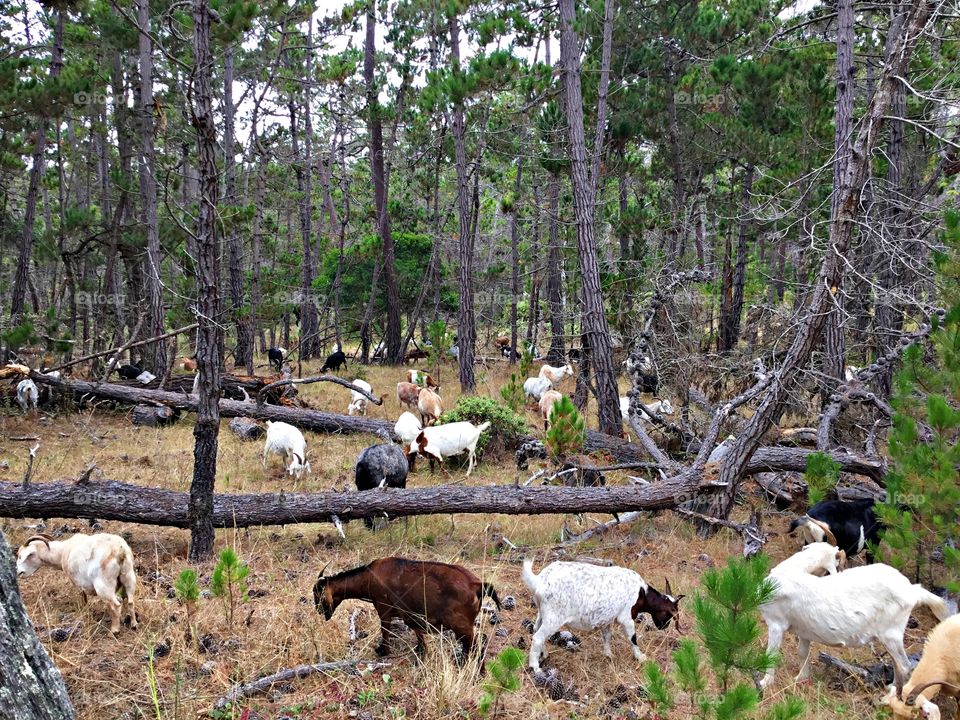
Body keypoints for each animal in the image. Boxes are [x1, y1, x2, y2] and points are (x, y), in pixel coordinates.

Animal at [313, 557, 501, 665]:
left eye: (316, 593)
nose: (318, 611)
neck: (369, 576)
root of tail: (476, 585)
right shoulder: (410, 615)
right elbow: (418, 633)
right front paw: (421, 651)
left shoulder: (383, 609)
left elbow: (385, 630)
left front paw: (383, 651)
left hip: (462, 627)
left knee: (477, 647)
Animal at [522, 558, 681, 673]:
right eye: (670, 613)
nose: (663, 627)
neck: (642, 593)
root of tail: (539, 581)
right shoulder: (627, 617)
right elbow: (632, 639)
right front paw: (641, 657)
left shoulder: (607, 620)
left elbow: (607, 637)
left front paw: (609, 655)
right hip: (554, 617)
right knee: (538, 637)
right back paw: (535, 667)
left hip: (543, 613)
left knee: (536, 630)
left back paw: (544, 655)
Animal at [759, 562, 951, 691]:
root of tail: (913, 591)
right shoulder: (803, 630)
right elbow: (802, 653)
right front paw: (800, 678)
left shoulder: (775, 622)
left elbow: (771, 654)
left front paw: (764, 683)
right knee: (898, 664)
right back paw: (890, 688)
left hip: (891, 633)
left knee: (904, 665)